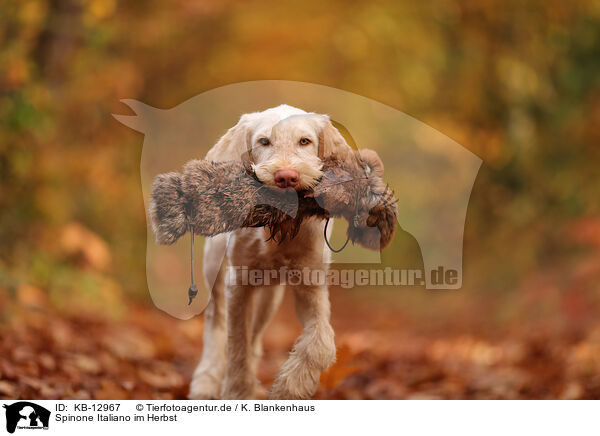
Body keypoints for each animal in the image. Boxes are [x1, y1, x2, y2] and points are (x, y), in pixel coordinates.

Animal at [190, 104, 354, 398]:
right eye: (264, 141)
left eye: (305, 141)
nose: (286, 176)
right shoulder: (238, 283)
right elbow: (237, 345)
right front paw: (237, 391)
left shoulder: (311, 285)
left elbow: (321, 342)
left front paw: (290, 387)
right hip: (214, 269)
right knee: (216, 322)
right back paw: (206, 381)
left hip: (271, 295)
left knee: (256, 335)